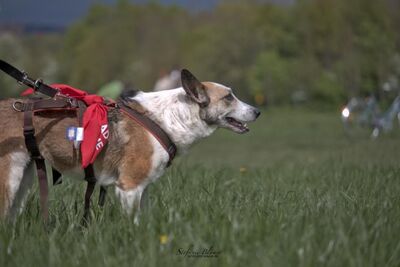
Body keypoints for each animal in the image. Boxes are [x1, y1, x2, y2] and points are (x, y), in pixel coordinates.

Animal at [0, 69, 260, 222]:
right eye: (228, 97)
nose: (257, 111)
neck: (167, 118)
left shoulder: (143, 189)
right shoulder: (130, 187)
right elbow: (132, 225)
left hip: (24, 181)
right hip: (9, 181)